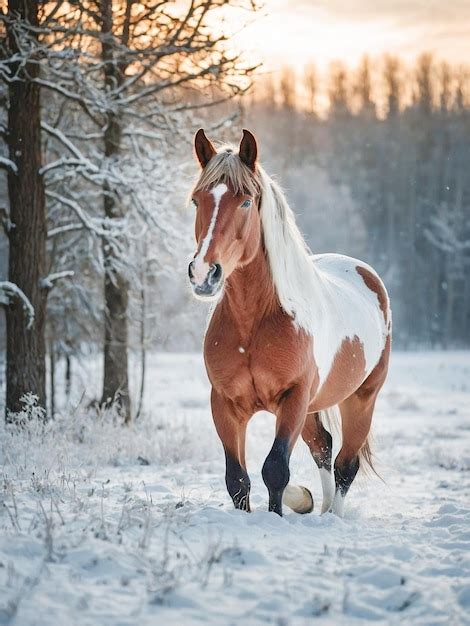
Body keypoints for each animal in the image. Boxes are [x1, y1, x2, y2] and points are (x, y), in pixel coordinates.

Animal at [188, 129, 392, 516]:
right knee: (324, 447)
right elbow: (237, 479)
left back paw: (333, 518)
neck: (255, 323)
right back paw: (322, 509)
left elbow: (275, 469)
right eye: (196, 201)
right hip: (315, 407)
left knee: (345, 464)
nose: (205, 273)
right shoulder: (225, 404)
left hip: (361, 398)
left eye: (246, 202)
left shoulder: (293, 399)